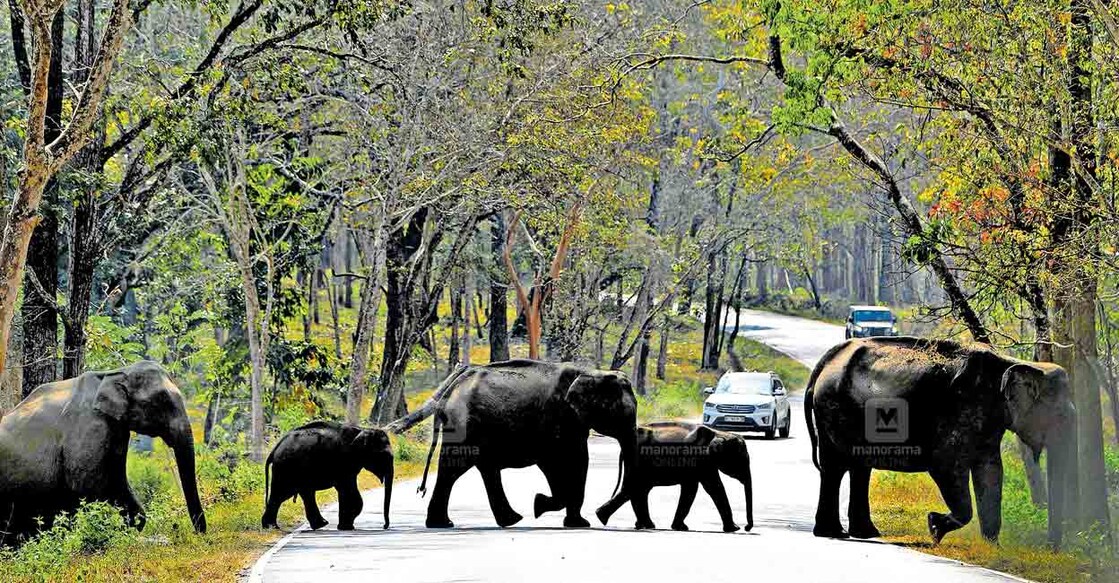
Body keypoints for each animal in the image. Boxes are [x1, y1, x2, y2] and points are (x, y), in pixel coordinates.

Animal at [0, 358, 205, 541]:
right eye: (160, 401)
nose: (199, 533)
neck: (115, 373)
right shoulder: (89, 427)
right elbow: (86, 484)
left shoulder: (116, 431)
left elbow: (118, 481)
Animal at [261, 420, 393, 530]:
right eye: (384, 455)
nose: (384, 526)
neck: (363, 430)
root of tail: (274, 449)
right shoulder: (345, 460)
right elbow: (348, 490)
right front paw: (346, 527)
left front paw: (345, 526)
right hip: (287, 468)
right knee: (281, 494)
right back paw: (271, 526)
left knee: (302, 494)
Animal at [398, 358, 635, 528]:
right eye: (619, 412)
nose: (601, 514)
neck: (593, 372)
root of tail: (446, 394)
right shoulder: (559, 418)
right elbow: (561, 463)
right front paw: (541, 506)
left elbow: (572, 462)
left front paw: (567, 518)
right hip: (464, 427)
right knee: (454, 469)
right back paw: (446, 524)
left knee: (481, 469)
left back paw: (506, 520)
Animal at [595, 420, 751, 530]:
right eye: (742, 459)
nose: (747, 527)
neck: (719, 433)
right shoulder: (702, 460)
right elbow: (713, 487)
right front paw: (734, 529)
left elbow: (692, 488)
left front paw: (680, 527)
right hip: (637, 462)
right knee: (633, 488)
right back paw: (604, 518)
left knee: (638, 490)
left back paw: (643, 525)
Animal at [805, 335, 1074, 546]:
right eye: (1061, 415)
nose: (1051, 549)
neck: (1013, 363)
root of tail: (826, 360)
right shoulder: (960, 411)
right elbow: (947, 467)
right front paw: (934, 526)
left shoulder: (988, 422)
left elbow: (991, 471)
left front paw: (992, 547)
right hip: (832, 408)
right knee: (835, 467)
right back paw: (835, 533)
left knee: (857, 468)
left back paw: (864, 533)